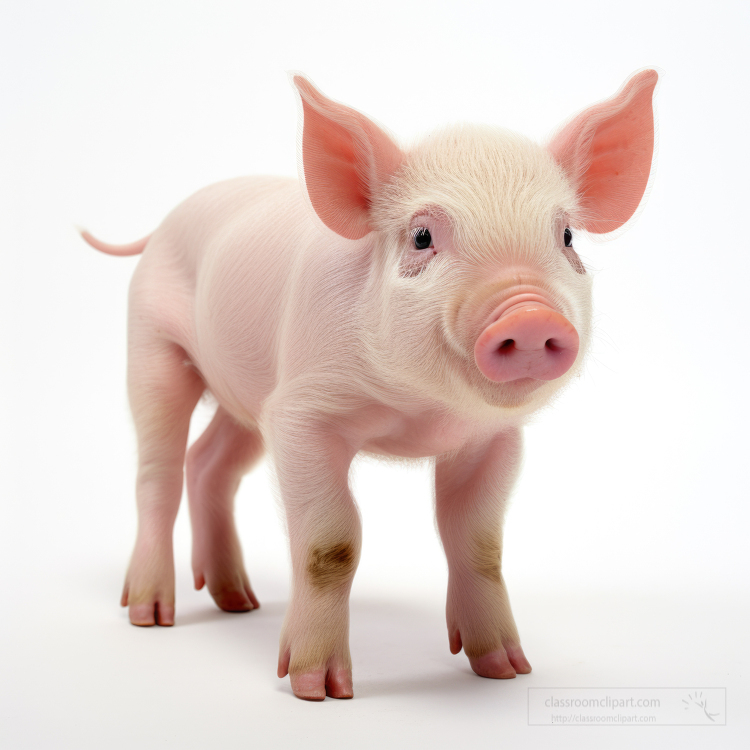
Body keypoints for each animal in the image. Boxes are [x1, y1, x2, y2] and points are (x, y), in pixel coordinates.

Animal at [82, 69, 656, 700]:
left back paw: (239, 603)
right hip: (151, 344)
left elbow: (480, 544)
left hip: (248, 396)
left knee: (208, 463)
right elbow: (330, 545)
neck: (421, 410)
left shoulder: (494, 438)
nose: (529, 316)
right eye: (422, 236)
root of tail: (161, 225)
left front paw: (506, 669)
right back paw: (150, 615)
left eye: (568, 236)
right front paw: (316, 689)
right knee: (157, 472)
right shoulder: (302, 415)